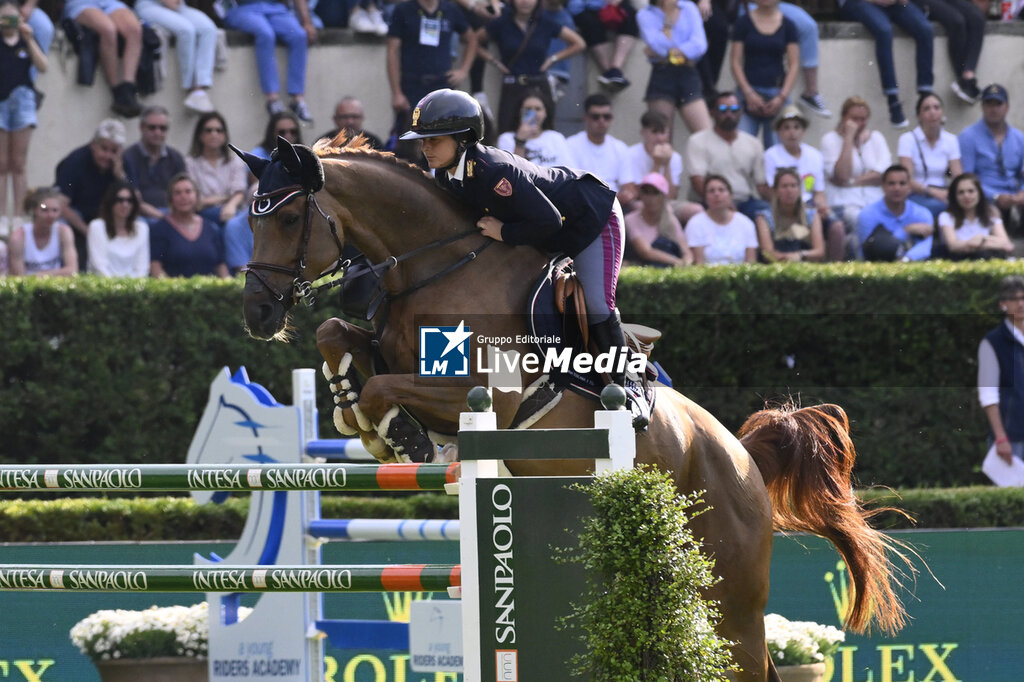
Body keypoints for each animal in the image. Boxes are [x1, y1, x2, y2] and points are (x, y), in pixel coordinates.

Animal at [235, 135, 909, 675]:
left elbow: (388, 390)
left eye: (289, 216)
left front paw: (399, 435)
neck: (438, 265)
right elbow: (339, 338)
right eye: (251, 220)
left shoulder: (491, 398)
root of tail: (743, 458)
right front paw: (351, 402)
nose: (258, 314)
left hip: (730, 594)